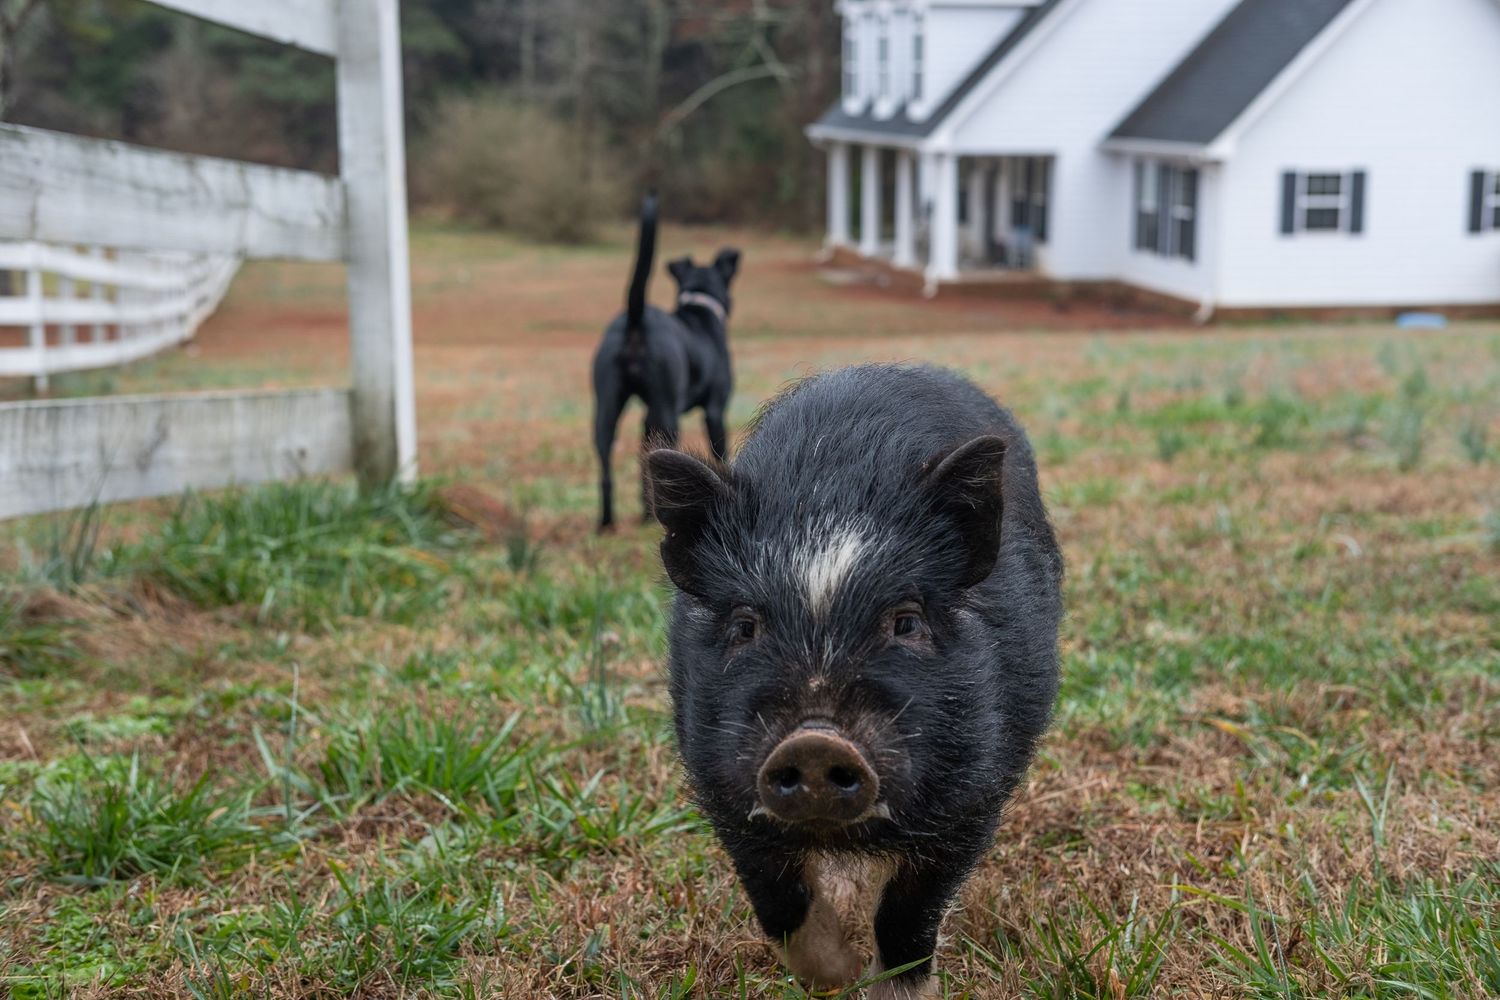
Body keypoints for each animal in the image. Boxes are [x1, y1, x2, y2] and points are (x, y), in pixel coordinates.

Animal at [644, 363, 1063, 998]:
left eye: (907, 621)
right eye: (745, 625)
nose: (816, 741)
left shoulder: (976, 789)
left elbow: (911, 910)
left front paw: (886, 987)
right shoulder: (717, 773)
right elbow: (777, 898)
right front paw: (835, 976)